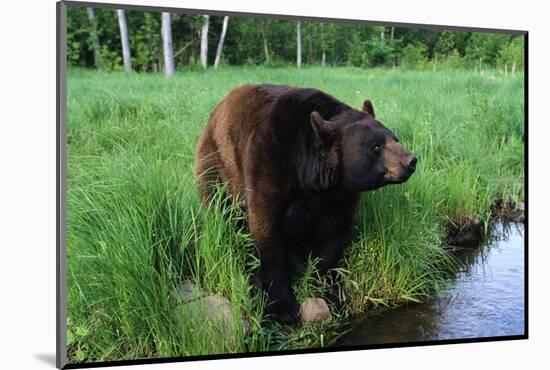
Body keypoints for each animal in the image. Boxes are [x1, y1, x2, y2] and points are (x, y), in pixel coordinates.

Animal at [196, 84, 416, 324]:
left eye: (395, 138)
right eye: (376, 146)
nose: (411, 160)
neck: (312, 176)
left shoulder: (339, 196)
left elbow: (333, 236)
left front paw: (326, 290)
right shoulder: (269, 162)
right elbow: (268, 232)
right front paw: (284, 306)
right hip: (217, 164)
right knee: (218, 206)